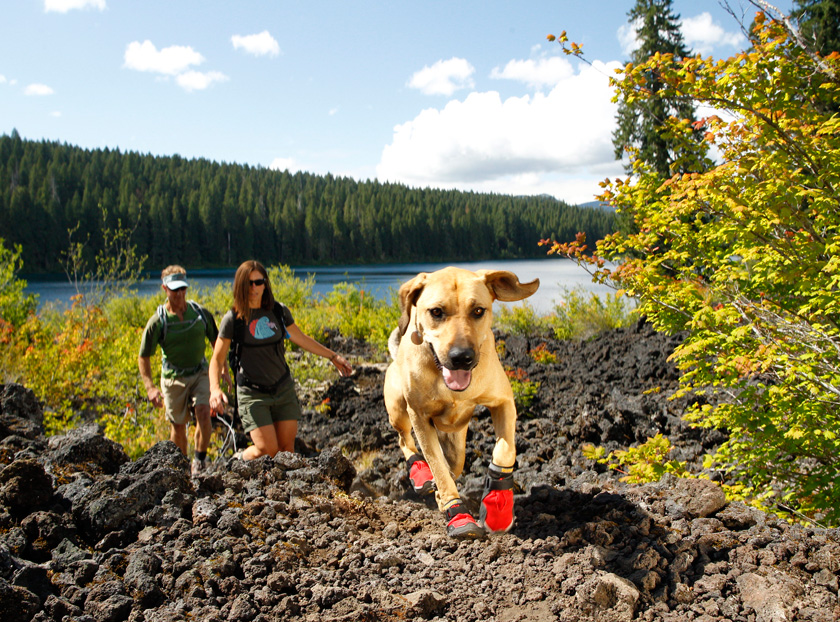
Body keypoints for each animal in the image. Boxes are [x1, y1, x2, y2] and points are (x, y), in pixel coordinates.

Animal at [386, 266, 540, 540]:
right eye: (436, 312)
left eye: (478, 310)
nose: (461, 357)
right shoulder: (419, 417)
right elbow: (438, 468)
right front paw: (457, 514)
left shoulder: (503, 402)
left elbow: (505, 450)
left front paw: (497, 504)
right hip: (398, 409)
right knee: (405, 441)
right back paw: (421, 474)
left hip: (456, 437)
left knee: (455, 462)